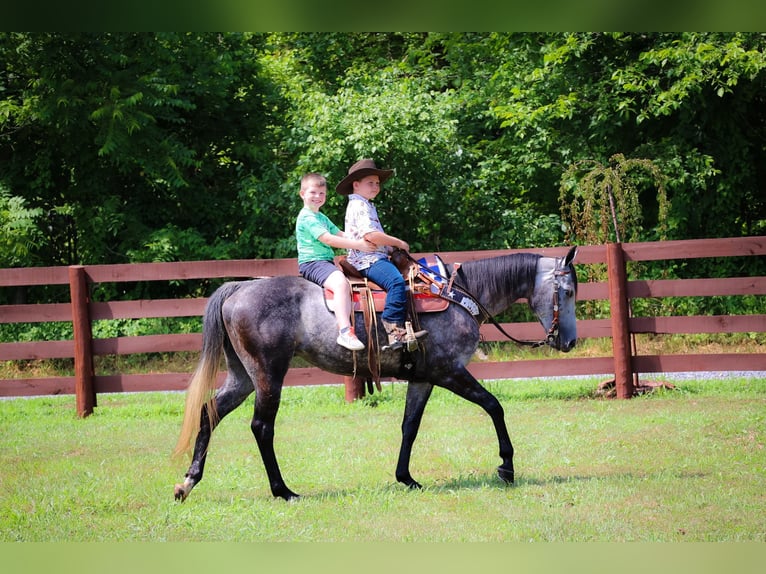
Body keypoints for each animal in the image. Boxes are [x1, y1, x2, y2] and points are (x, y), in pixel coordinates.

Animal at [173, 246, 578, 501]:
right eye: (570, 291)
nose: (570, 341)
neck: (457, 296)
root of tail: (239, 288)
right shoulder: (449, 371)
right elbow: (494, 406)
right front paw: (506, 467)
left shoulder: (422, 378)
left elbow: (409, 426)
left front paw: (406, 478)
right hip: (268, 374)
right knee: (261, 427)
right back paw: (283, 490)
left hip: (242, 376)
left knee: (209, 413)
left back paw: (188, 482)